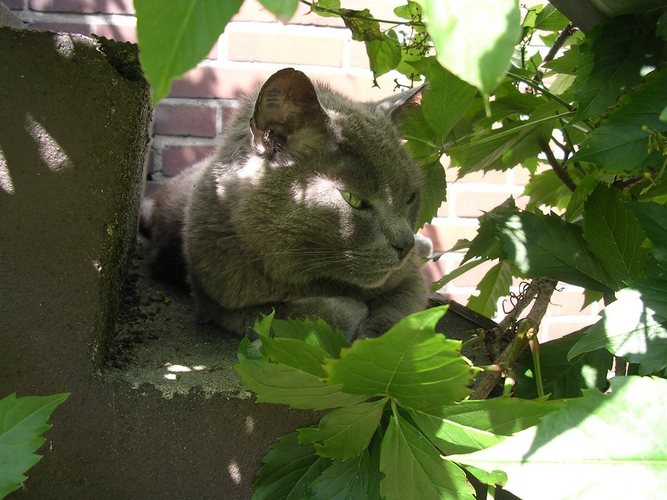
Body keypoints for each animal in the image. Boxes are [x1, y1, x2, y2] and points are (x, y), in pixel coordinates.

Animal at [144, 67, 430, 340]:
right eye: (354, 200)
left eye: (410, 197)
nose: (405, 245)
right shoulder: (218, 303)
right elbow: (290, 313)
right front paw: (353, 312)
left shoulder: (411, 279)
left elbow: (400, 310)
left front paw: (378, 339)